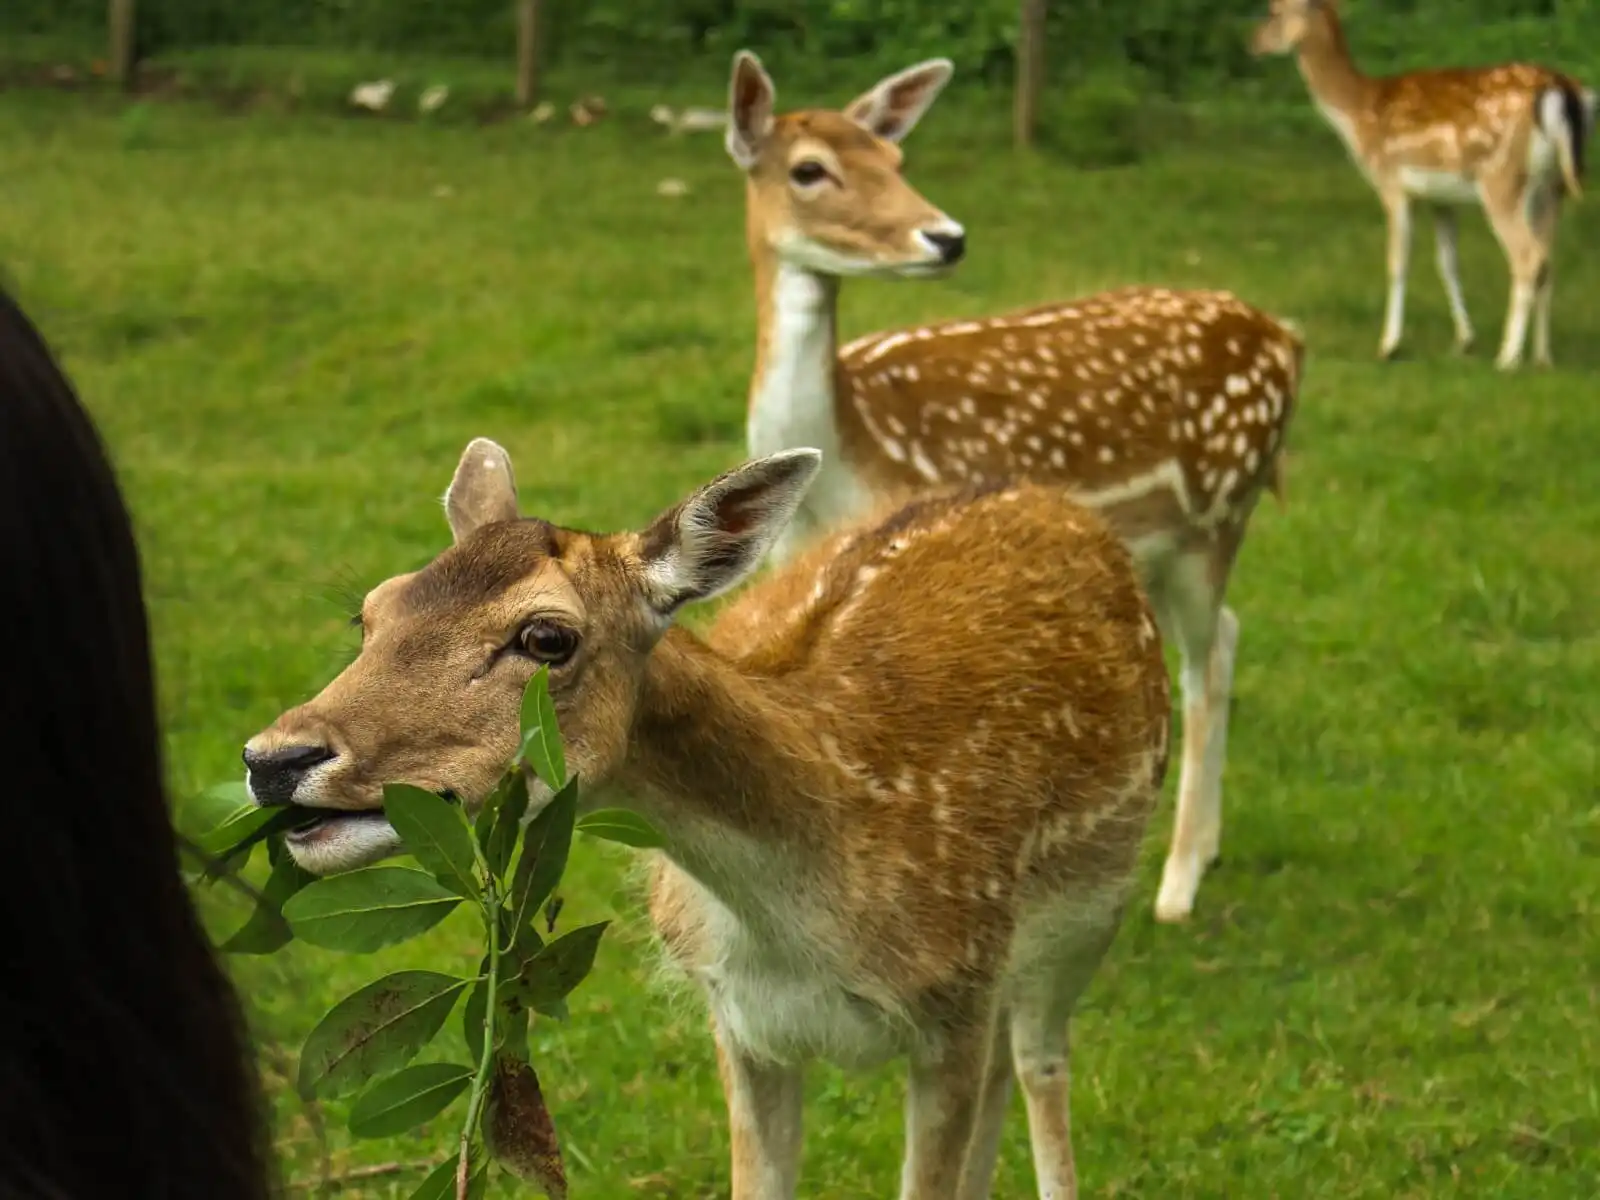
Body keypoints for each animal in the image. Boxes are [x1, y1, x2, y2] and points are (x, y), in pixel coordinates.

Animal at [246, 438, 1177, 1196]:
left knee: (1039, 1063)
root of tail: (1038, 493)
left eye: (546, 638)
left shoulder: (955, 1008)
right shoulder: (738, 1021)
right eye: (370, 612)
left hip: (1082, 919)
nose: (274, 758)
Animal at [726, 49, 1299, 921]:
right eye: (809, 169)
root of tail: (1288, 339)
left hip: (1219, 511)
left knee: (1206, 665)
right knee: (1229, 638)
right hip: (1159, 545)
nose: (946, 237)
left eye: (895, 157)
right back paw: (1204, 848)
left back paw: (1178, 883)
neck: (851, 460)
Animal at [1254, 0, 1593, 371]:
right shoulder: (1441, 198)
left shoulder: (1392, 184)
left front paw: (1389, 346)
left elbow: (1397, 261)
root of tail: (1561, 88)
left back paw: (1507, 358)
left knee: (1528, 258)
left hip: (1502, 179)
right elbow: (1448, 263)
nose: (1253, 42)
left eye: (1274, 9)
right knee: (1548, 259)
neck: (1359, 113)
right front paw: (1465, 340)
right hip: (1554, 187)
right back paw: (1542, 357)